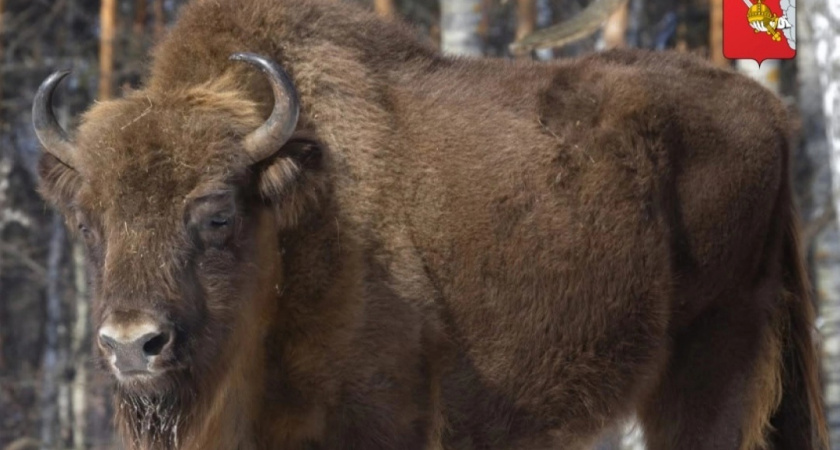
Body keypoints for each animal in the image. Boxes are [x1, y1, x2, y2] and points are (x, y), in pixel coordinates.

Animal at [34, 0, 828, 448]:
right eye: (90, 224)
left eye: (217, 214)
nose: (132, 345)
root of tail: (770, 115)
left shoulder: (382, 419)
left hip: (709, 369)